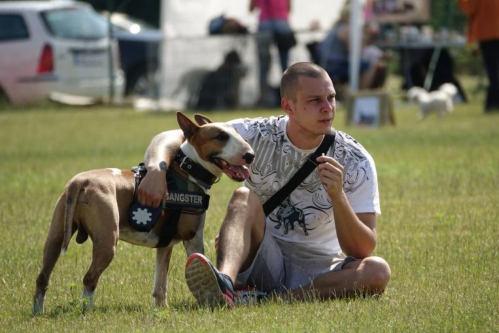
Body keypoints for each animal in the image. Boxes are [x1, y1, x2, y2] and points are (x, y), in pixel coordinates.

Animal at [32, 112, 254, 314]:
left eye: (237, 133)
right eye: (220, 136)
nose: (250, 156)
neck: (188, 170)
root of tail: (80, 181)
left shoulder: (165, 245)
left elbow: (160, 283)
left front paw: (162, 309)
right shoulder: (193, 238)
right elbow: (197, 260)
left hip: (55, 236)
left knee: (43, 277)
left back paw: (38, 312)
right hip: (107, 242)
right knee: (89, 278)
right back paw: (86, 311)